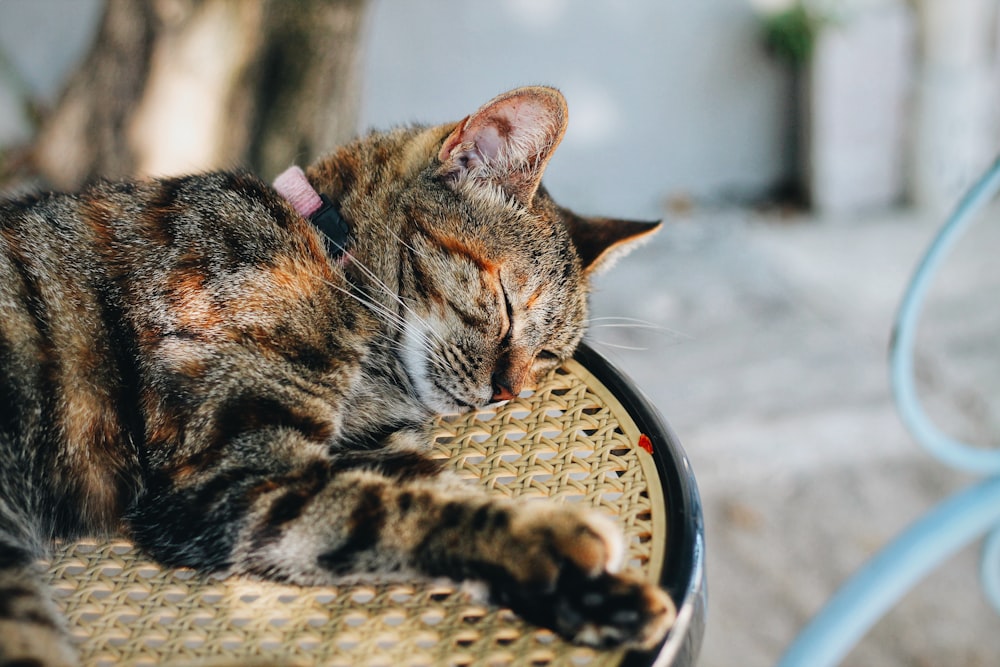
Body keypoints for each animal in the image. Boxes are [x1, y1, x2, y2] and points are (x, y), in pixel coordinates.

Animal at [0, 86, 676, 664]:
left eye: (549, 357)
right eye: (508, 305)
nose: (506, 392)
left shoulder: (369, 458)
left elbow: (436, 497)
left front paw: (598, 598)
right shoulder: (231, 476)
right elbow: (403, 513)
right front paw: (554, 545)